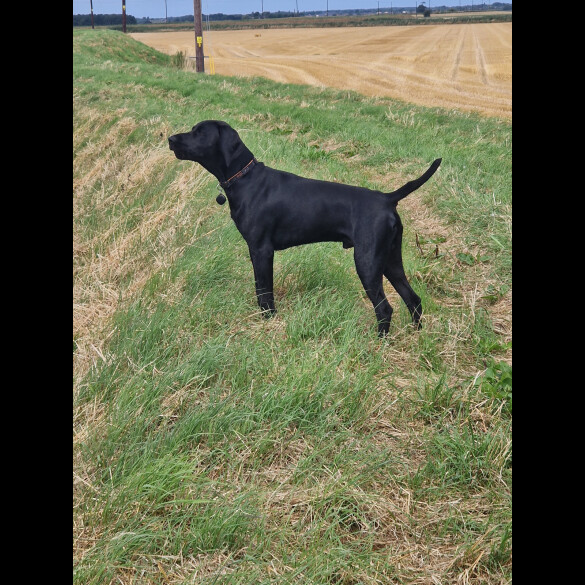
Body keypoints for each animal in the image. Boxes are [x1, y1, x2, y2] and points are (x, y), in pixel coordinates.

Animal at [167, 118, 440, 336]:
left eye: (199, 132)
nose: (170, 139)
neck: (245, 178)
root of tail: (387, 198)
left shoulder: (261, 250)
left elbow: (264, 292)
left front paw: (269, 321)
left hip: (367, 262)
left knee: (384, 308)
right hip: (391, 261)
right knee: (413, 299)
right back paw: (416, 336)